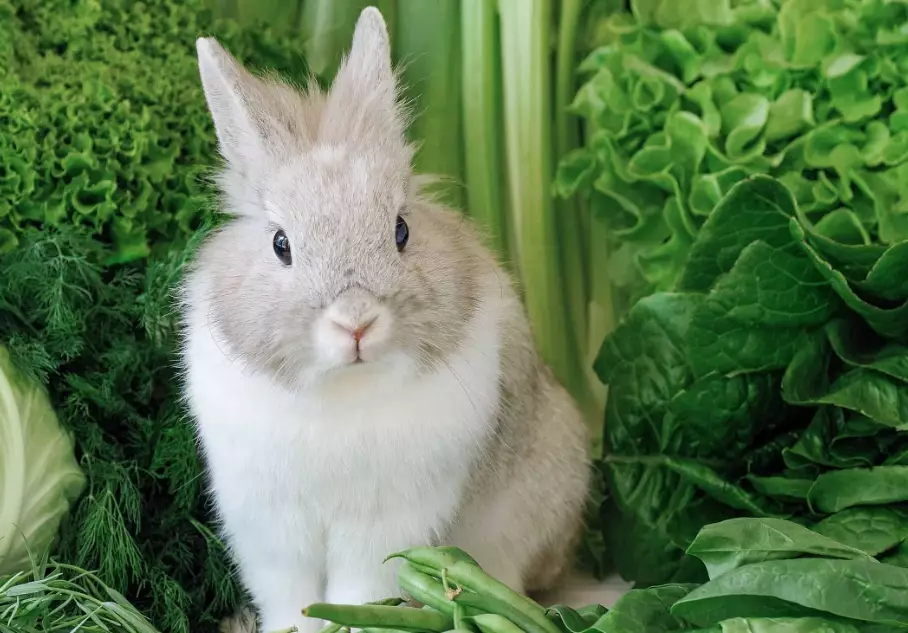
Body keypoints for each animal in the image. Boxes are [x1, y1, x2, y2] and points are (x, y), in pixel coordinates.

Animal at [179, 6, 592, 633]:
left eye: (401, 229)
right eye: (281, 244)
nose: (356, 323)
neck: (342, 389)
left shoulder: (386, 522)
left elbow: (357, 590)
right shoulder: (269, 525)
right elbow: (288, 596)